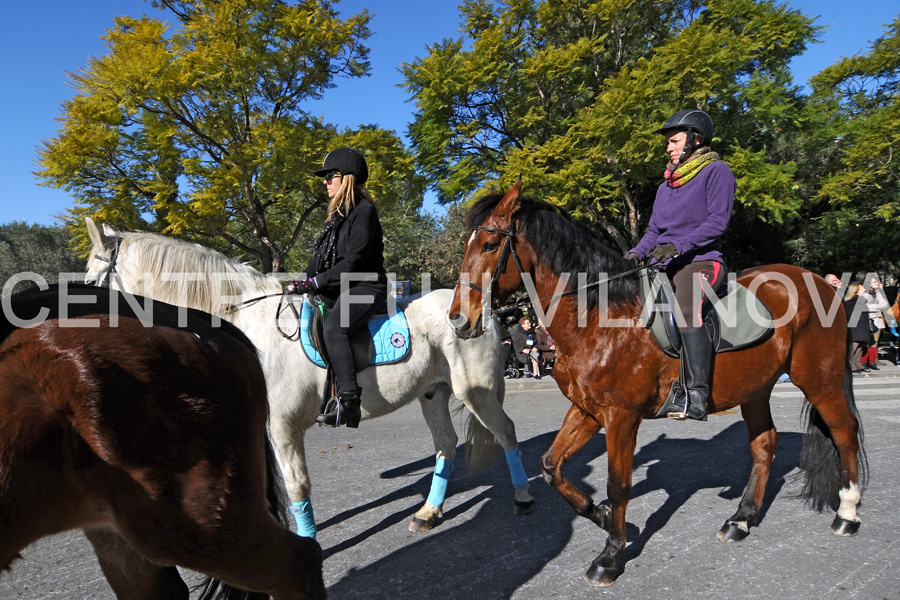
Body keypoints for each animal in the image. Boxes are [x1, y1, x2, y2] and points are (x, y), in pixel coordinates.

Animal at [84, 220, 536, 540]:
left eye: (88, 283)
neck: (247, 324)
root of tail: (479, 310)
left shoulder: (283, 428)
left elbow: (297, 486)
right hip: (433, 393)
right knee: (445, 445)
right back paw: (429, 513)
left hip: (475, 392)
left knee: (506, 433)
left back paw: (523, 497)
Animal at [446, 183, 868, 584]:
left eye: (489, 245)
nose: (458, 320)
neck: (600, 316)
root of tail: (820, 282)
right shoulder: (587, 410)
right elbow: (551, 466)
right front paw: (600, 515)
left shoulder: (621, 416)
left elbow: (618, 484)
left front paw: (610, 555)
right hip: (755, 388)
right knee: (765, 444)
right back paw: (741, 520)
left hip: (820, 380)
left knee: (844, 431)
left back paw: (847, 513)